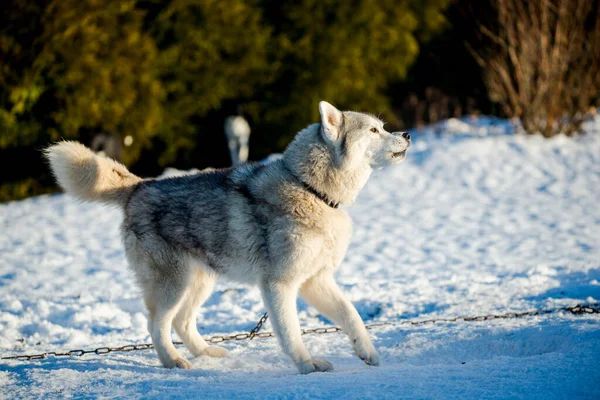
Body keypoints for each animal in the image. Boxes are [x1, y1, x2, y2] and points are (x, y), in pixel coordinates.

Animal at [45, 101, 412, 374]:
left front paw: (367, 352)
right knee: (157, 326)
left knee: (182, 323)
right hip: (172, 284)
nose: (407, 133)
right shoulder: (279, 285)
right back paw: (174, 362)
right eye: (374, 130)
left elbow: (351, 315)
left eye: (383, 127)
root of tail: (139, 187)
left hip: (200, 281)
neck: (310, 189)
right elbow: (290, 332)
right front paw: (307, 365)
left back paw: (207, 353)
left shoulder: (315, 281)